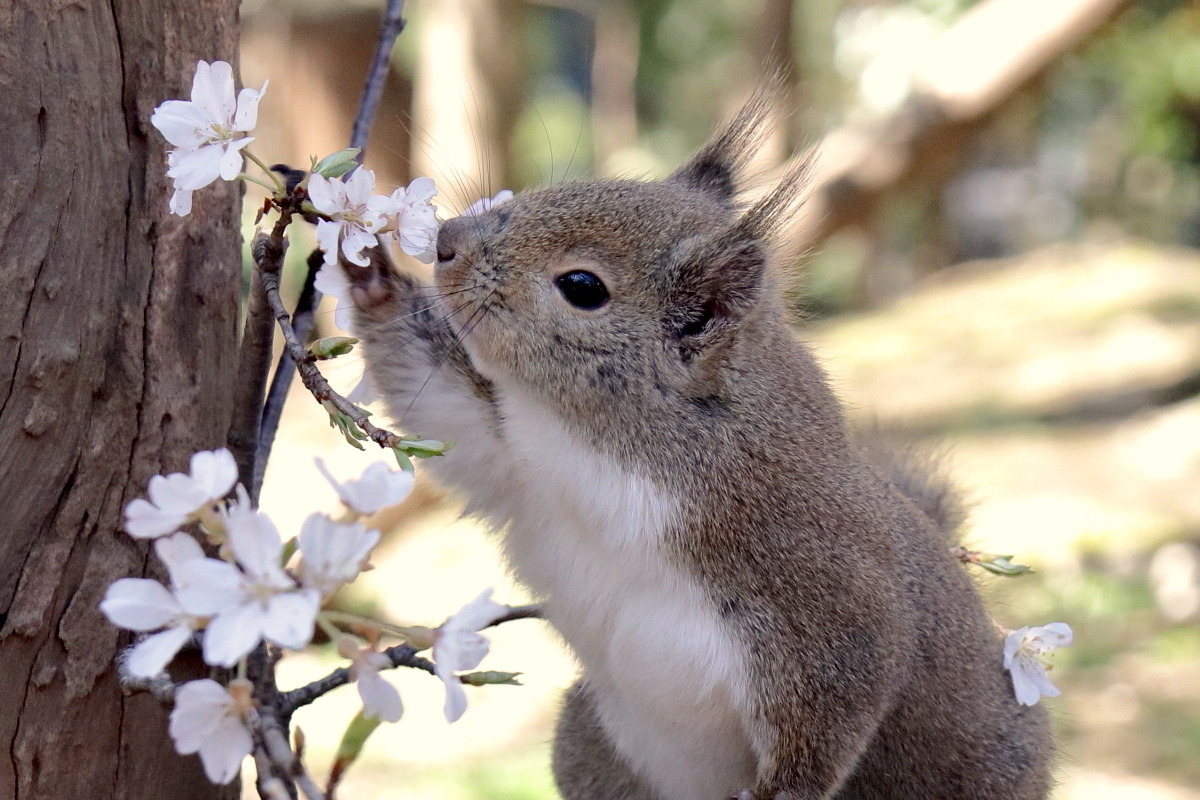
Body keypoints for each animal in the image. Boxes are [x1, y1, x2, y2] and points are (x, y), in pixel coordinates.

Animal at [342, 96, 1054, 800]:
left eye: (582, 286)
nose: (446, 242)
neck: (610, 452)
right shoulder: (518, 468)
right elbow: (442, 407)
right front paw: (367, 270)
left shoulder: (826, 592)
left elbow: (832, 710)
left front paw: (779, 793)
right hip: (589, 744)